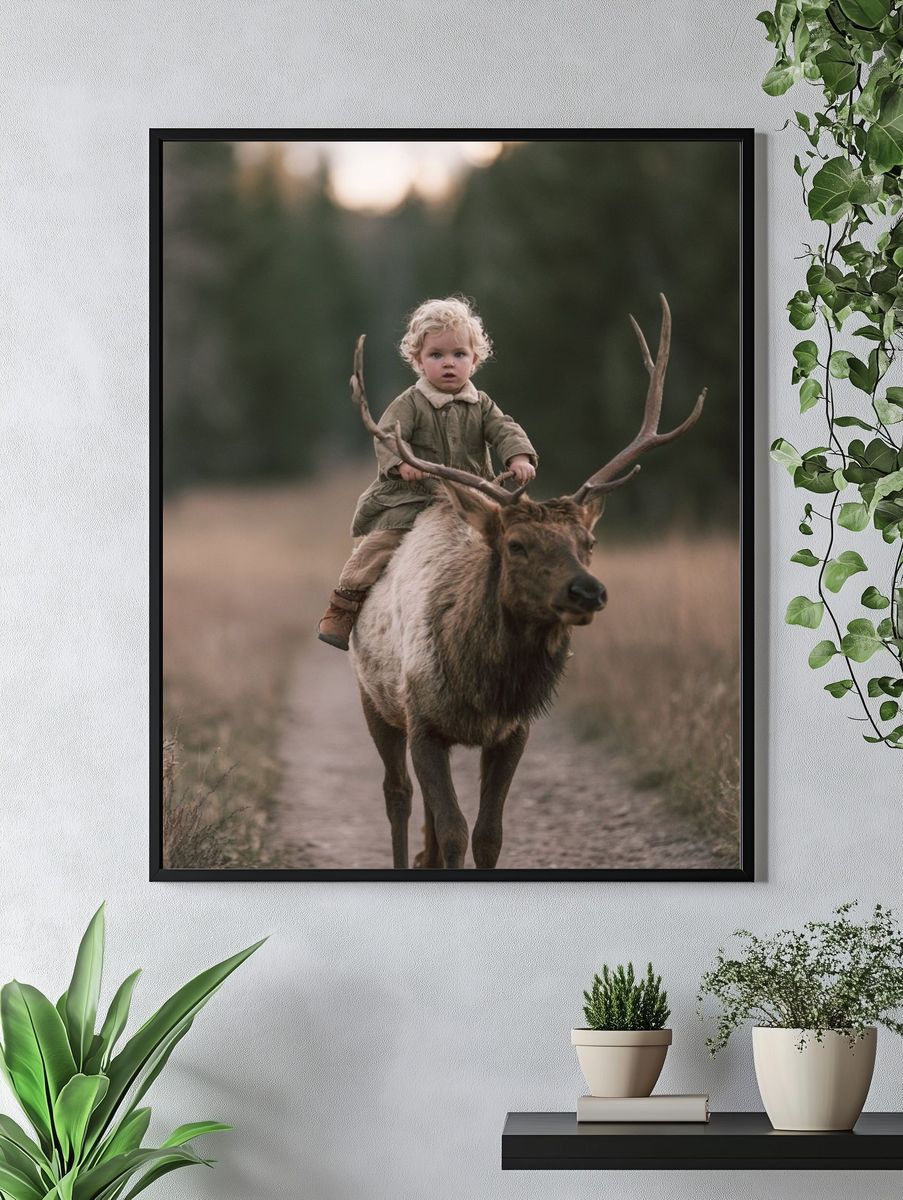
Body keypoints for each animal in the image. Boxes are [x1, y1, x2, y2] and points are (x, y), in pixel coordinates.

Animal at [348, 294, 705, 869]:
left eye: (589, 541)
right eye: (516, 545)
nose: (589, 591)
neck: (485, 686)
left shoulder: (513, 731)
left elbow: (487, 834)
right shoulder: (421, 718)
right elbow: (454, 831)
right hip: (373, 696)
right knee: (397, 795)